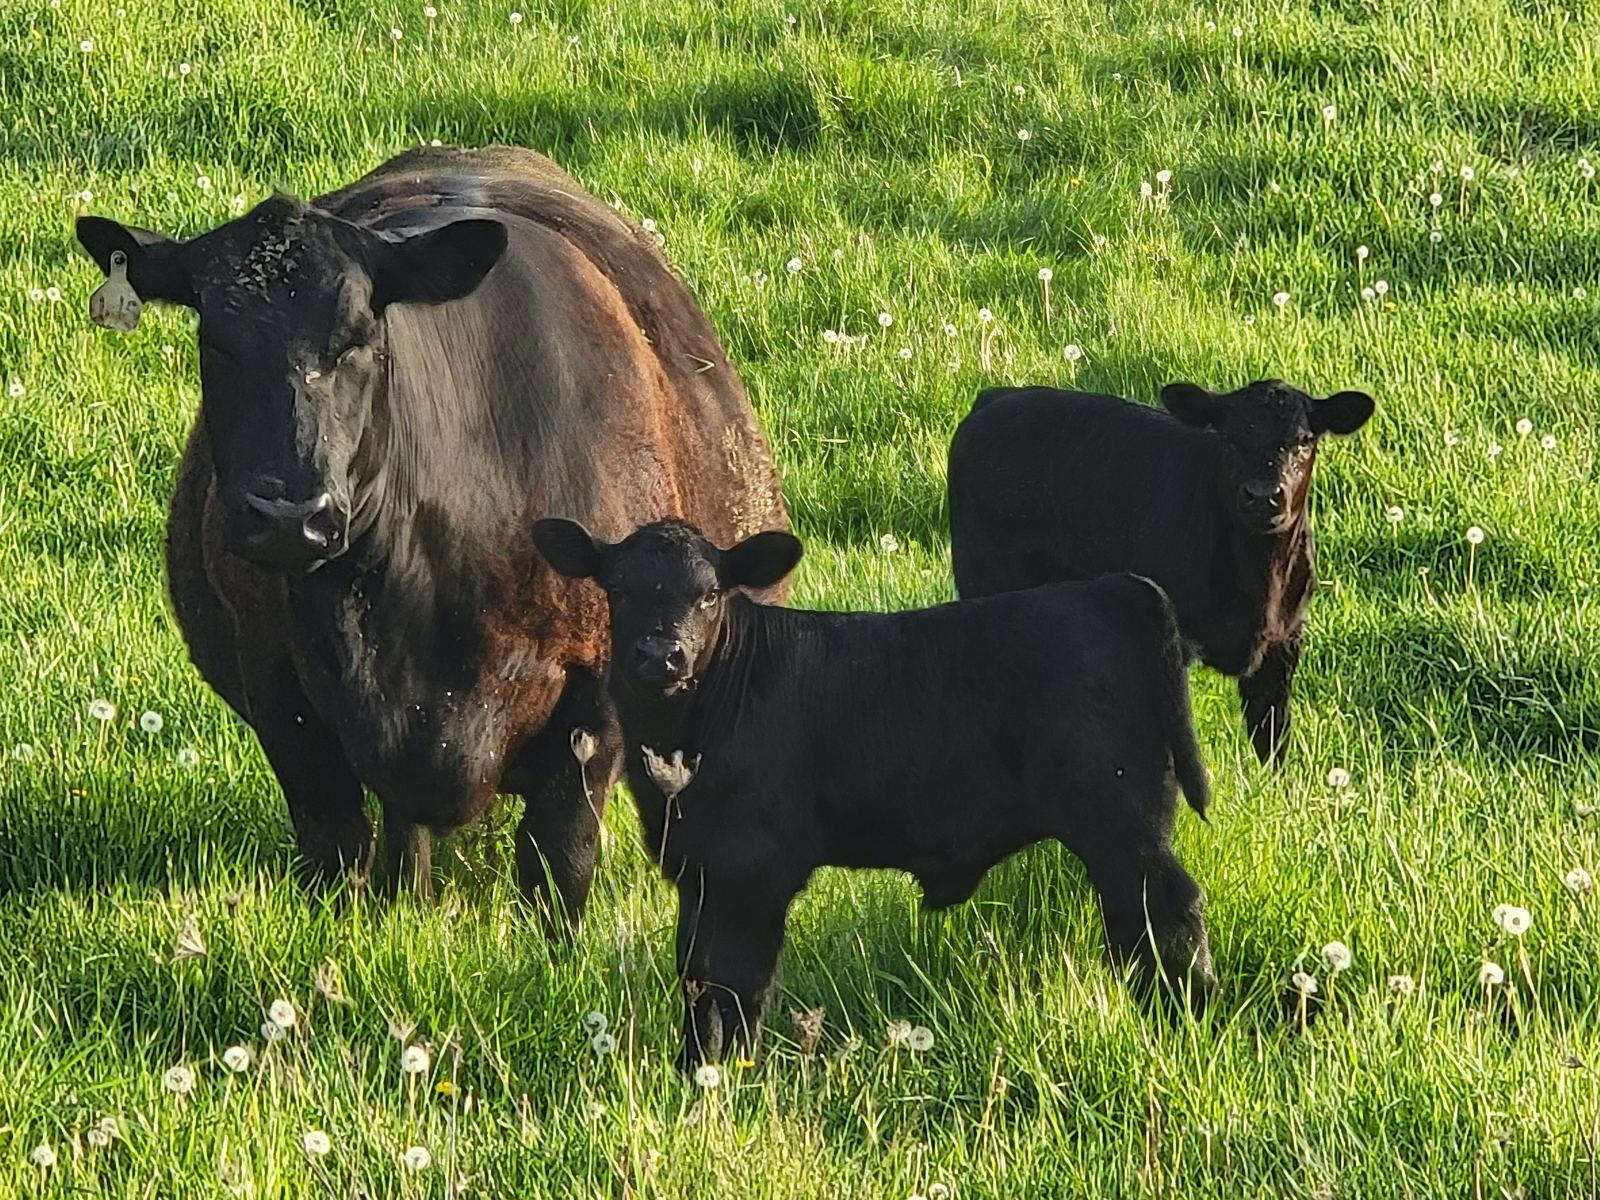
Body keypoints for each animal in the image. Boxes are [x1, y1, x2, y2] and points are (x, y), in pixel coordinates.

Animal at [75, 146, 789, 920]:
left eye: (358, 340)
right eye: (215, 341)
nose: (290, 516)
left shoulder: (597, 698)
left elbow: (558, 866)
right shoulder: (279, 693)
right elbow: (338, 851)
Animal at [531, 517, 1216, 1068]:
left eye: (708, 594)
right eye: (618, 588)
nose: (660, 655)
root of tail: (1110, 588)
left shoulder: (752, 870)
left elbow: (737, 982)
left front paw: (730, 1076)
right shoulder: (697, 868)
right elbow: (697, 977)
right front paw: (692, 1070)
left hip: (1122, 823)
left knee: (1169, 912)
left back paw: (1188, 1017)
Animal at [947, 380, 1374, 766]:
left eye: (1304, 440)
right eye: (1230, 439)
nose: (1263, 495)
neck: (1259, 583)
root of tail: (998, 397)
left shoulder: (1284, 642)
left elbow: (1272, 737)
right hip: (982, 581)